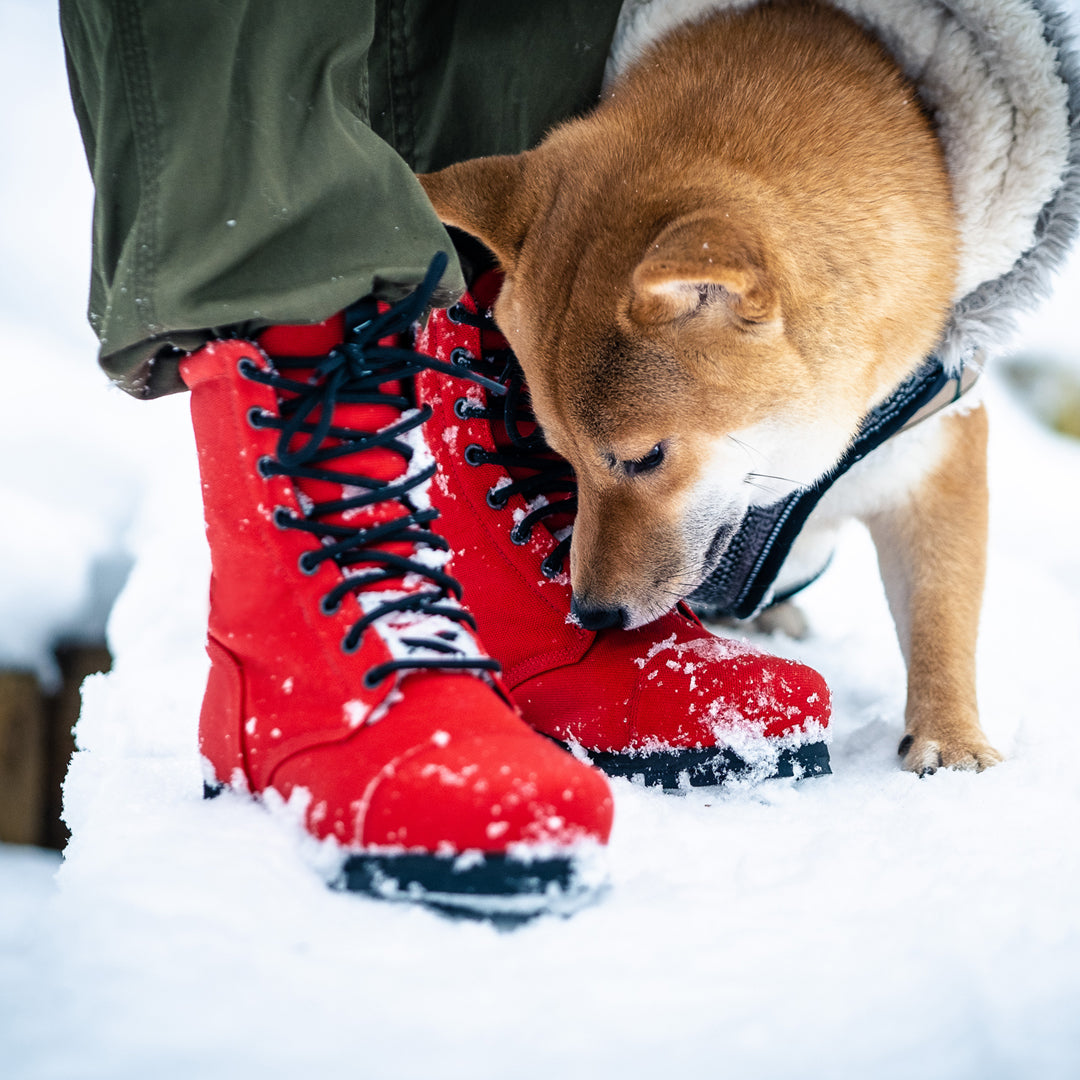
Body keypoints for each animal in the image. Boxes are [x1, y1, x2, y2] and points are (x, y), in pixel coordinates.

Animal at [419, 0, 1002, 777]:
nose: (593, 615)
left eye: (644, 458)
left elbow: (942, 609)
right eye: (559, 456)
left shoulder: (936, 445)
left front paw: (951, 735)